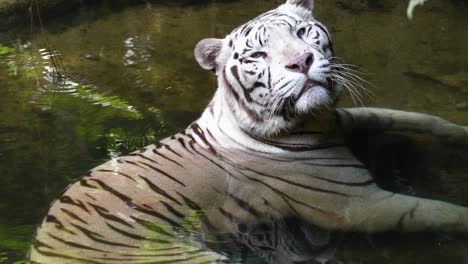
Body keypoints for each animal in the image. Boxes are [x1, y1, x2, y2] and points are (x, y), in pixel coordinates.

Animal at [28, 0, 468, 264]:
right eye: (258, 54)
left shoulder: (347, 119)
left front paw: (459, 130)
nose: (302, 61)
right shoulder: (357, 204)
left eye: (303, 33)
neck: (317, 121)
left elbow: (407, 116)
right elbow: (436, 211)